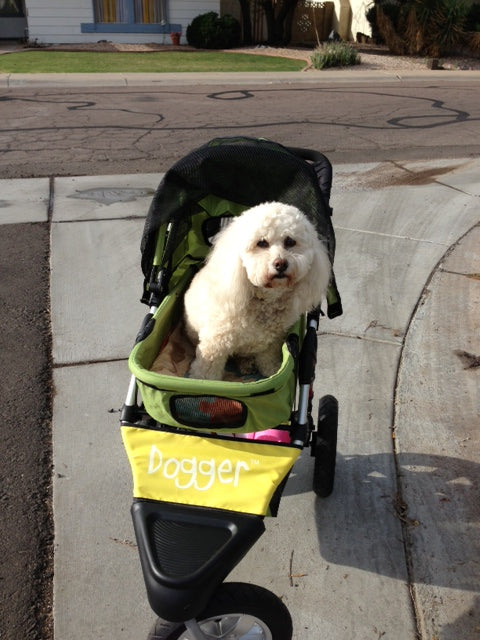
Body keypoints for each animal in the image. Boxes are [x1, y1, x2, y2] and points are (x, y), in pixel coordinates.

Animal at [183, 201, 330, 380]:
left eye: (290, 242)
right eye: (261, 243)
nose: (281, 264)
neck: (263, 301)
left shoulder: (272, 343)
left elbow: (268, 360)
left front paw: (273, 372)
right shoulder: (216, 344)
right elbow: (206, 372)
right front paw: (202, 382)